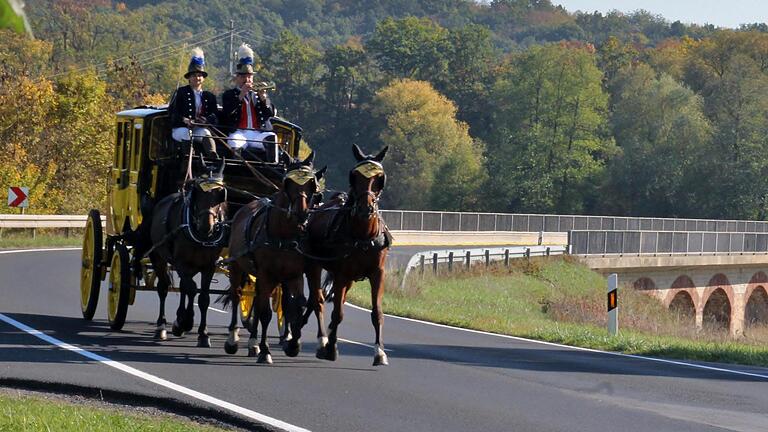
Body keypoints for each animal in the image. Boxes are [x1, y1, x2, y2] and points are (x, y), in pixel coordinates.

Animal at [148, 159, 228, 348]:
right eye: (197, 192)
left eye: (220, 194)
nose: (207, 226)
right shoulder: (181, 262)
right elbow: (192, 289)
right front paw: (185, 322)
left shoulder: (209, 266)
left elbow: (203, 297)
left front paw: (203, 334)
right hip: (158, 256)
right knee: (164, 288)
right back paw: (162, 326)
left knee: (184, 287)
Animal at [222, 152, 324, 364]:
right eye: (288, 183)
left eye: (312, 185)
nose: (301, 213)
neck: (284, 235)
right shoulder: (266, 273)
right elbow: (265, 313)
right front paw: (265, 351)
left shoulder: (294, 275)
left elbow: (296, 305)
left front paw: (293, 344)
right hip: (237, 265)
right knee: (237, 295)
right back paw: (233, 340)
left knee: (260, 298)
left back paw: (253, 342)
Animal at [304, 144, 392, 364]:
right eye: (354, 176)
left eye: (380, 177)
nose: (365, 208)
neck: (363, 236)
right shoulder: (341, 274)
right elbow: (338, 313)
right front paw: (331, 347)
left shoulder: (377, 274)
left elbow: (377, 313)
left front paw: (379, 352)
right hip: (314, 265)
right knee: (317, 300)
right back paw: (321, 340)